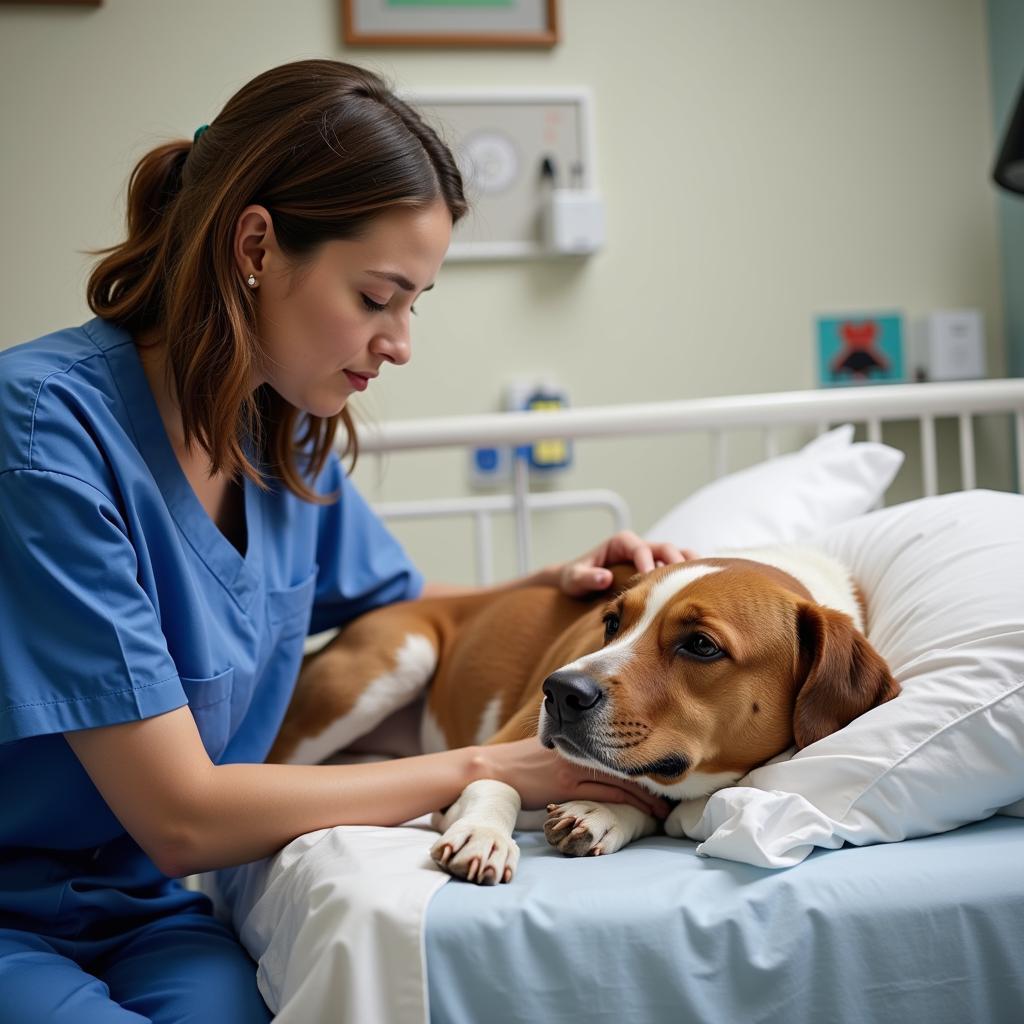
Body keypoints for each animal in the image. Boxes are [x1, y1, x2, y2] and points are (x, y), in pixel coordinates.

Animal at [270, 548, 897, 884]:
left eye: (700, 645)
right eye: (612, 622)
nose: (560, 690)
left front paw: (600, 815)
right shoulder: (496, 746)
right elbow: (491, 779)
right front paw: (484, 834)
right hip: (390, 663)